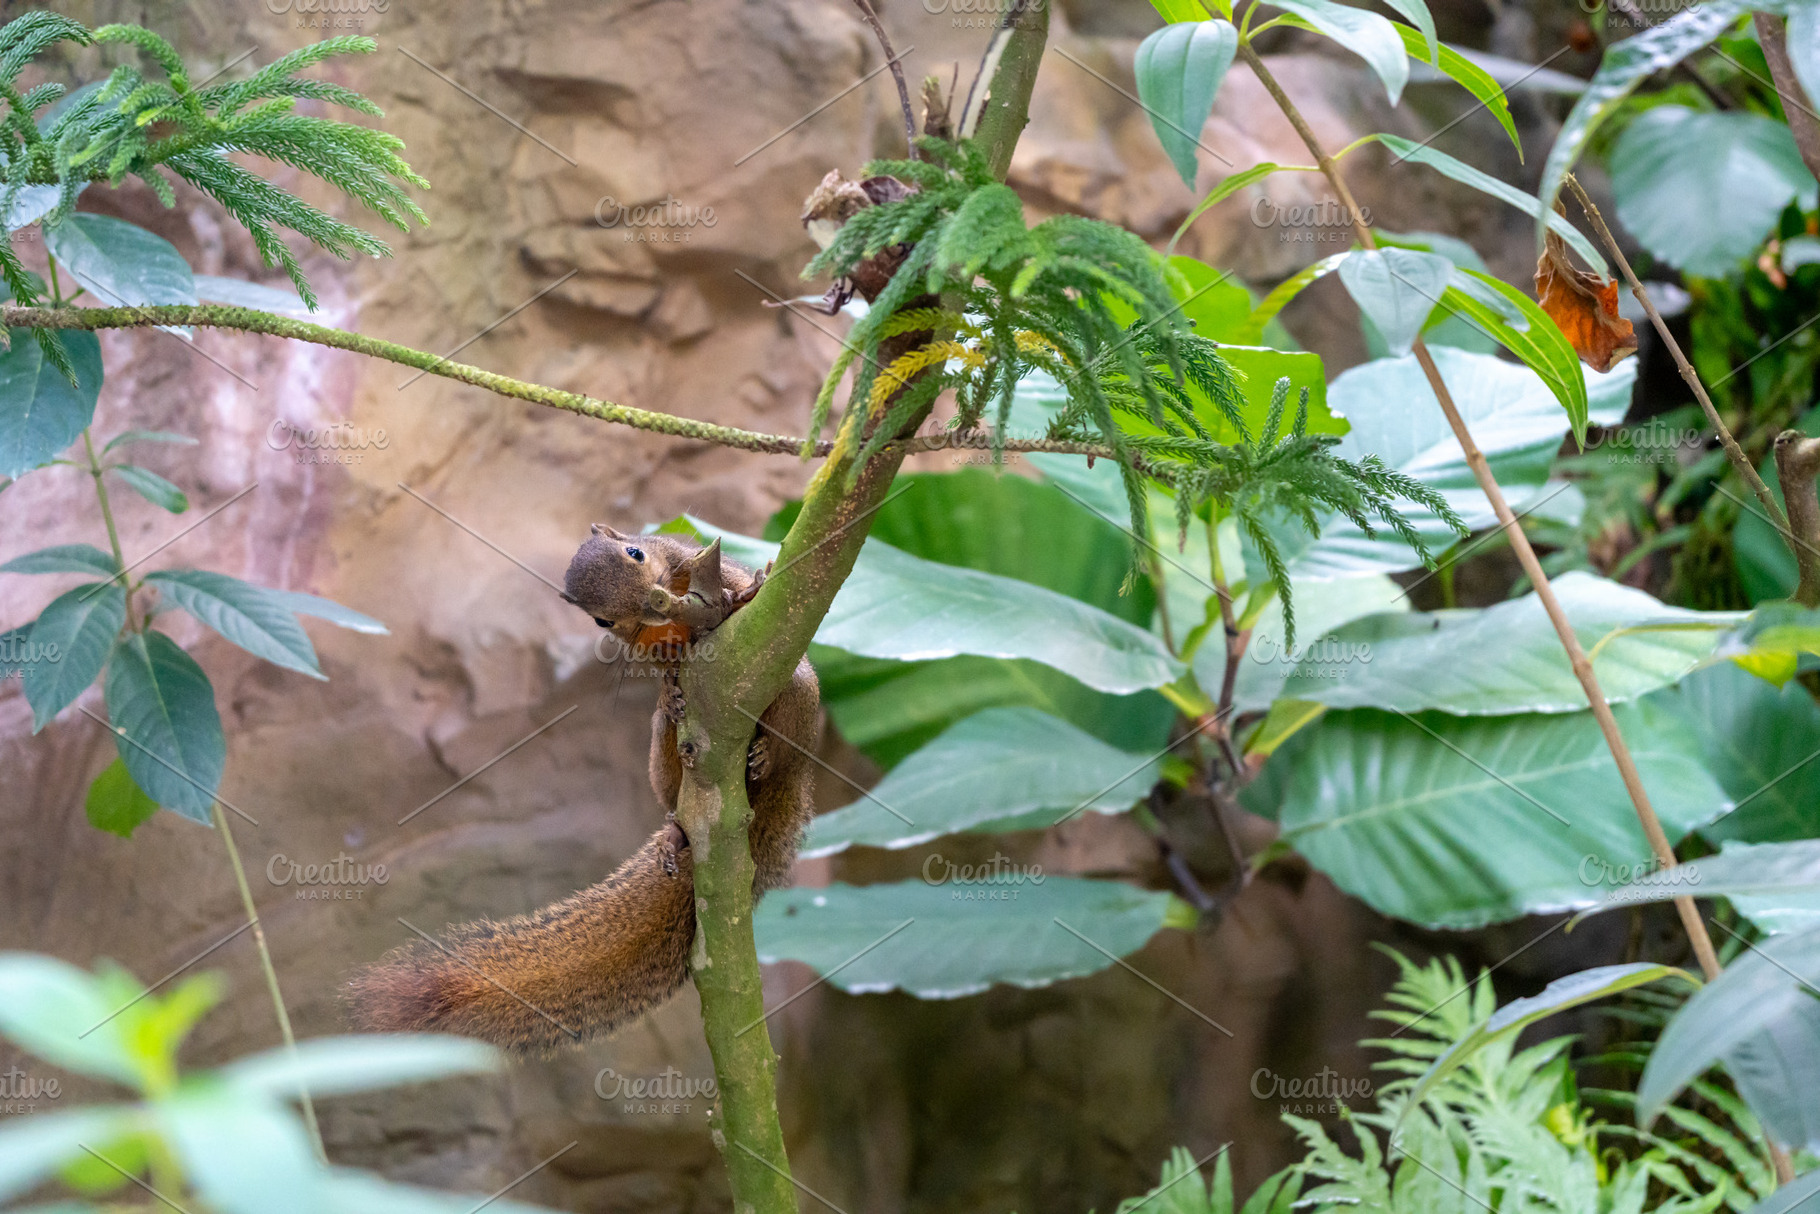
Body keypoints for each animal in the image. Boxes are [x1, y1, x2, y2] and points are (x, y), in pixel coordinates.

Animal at [345, 526, 820, 1053]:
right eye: (601, 619)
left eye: (636, 551)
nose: (653, 601)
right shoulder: (640, 640)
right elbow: (661, 668)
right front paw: (670, 686)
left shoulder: (691, 561)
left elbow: (739, 590)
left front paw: (746, 592)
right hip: (669, 757)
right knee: (674, 762)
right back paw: (676, 830)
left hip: (799, 697)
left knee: (791, 726)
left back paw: (768, 755)